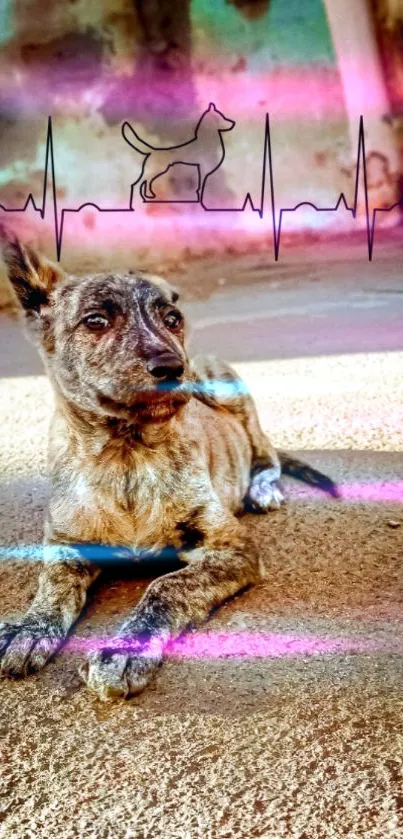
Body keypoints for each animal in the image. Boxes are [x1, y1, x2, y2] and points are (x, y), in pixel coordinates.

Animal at [0, 236, 340, 704]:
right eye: (96, 320)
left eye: (172, 319)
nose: (172, 368)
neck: (125, 456)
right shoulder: (65, 543)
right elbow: (52, 585)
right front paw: (29, 627)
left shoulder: (233, 545)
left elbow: (164, 587)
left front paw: (124, 651)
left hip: (220, 379)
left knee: (264, 450)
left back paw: (262, 488)